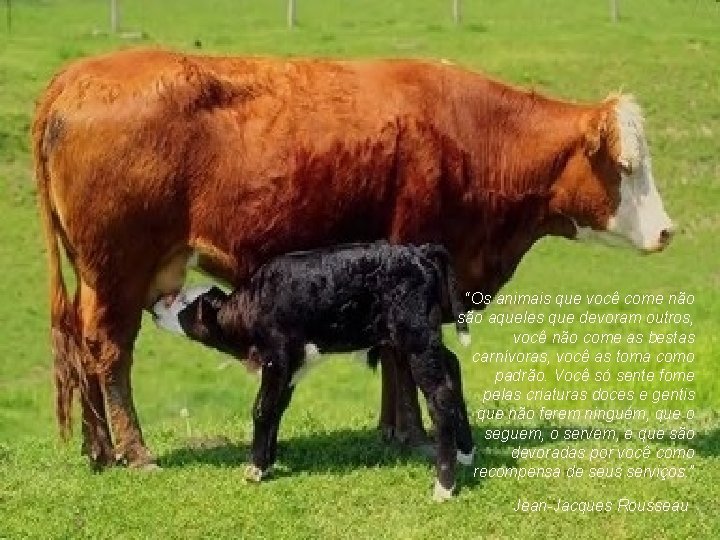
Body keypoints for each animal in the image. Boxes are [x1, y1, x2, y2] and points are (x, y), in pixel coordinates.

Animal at [32, 48, 676, 470]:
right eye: (626, 166)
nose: (667, 230)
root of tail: (74, 77)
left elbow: (392, 355)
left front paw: (391, 430)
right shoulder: (410, 260)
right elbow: (403, 357)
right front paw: (414, 434)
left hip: (98, 276)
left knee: (83, 351)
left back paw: (99, 450)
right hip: (118, 271)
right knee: (109, 352)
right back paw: (134, 451)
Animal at [152, 243, 476, 500]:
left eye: (184, 302)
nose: (154, 305)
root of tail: (416, 251)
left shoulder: (276, 358)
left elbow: (262, 408)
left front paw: (254, 469)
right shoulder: (292, 366)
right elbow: (276, 408)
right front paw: (267, 463)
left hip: (416, 339)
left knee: (440, 397)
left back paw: (443, 488)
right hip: (419, 340)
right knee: (453, 369)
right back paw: (466, 453)